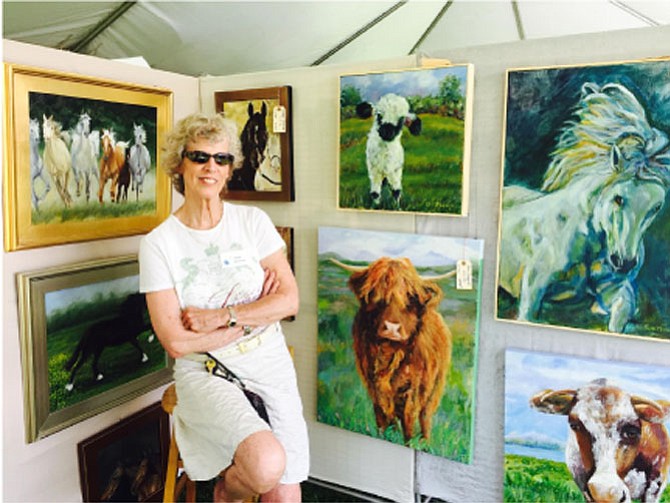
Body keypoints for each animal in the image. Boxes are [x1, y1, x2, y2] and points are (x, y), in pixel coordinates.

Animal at [332, 258, 456, 442]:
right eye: (375, 295)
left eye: (410, 297)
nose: (391, 328)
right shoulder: (374, 388)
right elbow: (382, 419)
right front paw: (386, 436)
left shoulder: (412, 390)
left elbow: (409, 422)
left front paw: (409, 442)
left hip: (435, 387)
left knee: (425, 416)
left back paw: (425, 441)